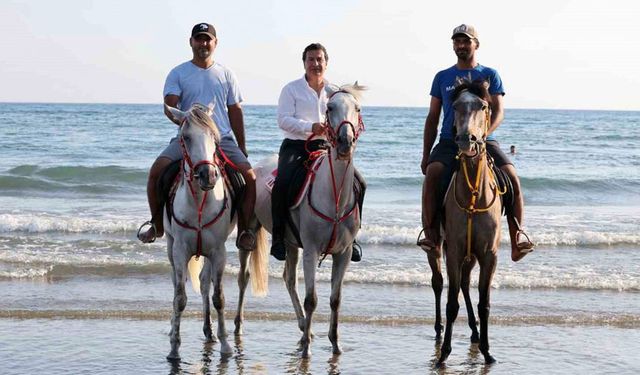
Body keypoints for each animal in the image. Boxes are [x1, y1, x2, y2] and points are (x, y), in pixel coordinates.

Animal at [164, 103, 268, 362]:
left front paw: (226, 345)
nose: (208, 175)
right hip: (171, 247)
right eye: (185, 137)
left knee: (204, 282)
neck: (200, 202)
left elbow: (218, 297)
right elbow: (180, 298)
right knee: (177, 284)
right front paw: (174, 348)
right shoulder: (180, 250)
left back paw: (209, 331)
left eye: (214, 138)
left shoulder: (218, 251)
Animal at [235, 82, 364, 358]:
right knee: (244, 277)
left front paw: (335, 344)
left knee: (289, 279)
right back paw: (239, 326)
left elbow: (335, 300)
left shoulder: (344, 253)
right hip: (250, 231)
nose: (345, 142)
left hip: (291, 243)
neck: (334, 195)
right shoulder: (311, 250)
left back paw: (306, 327)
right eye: (330, 108)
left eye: (357, 108)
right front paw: (306, 351)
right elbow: (311, 299)